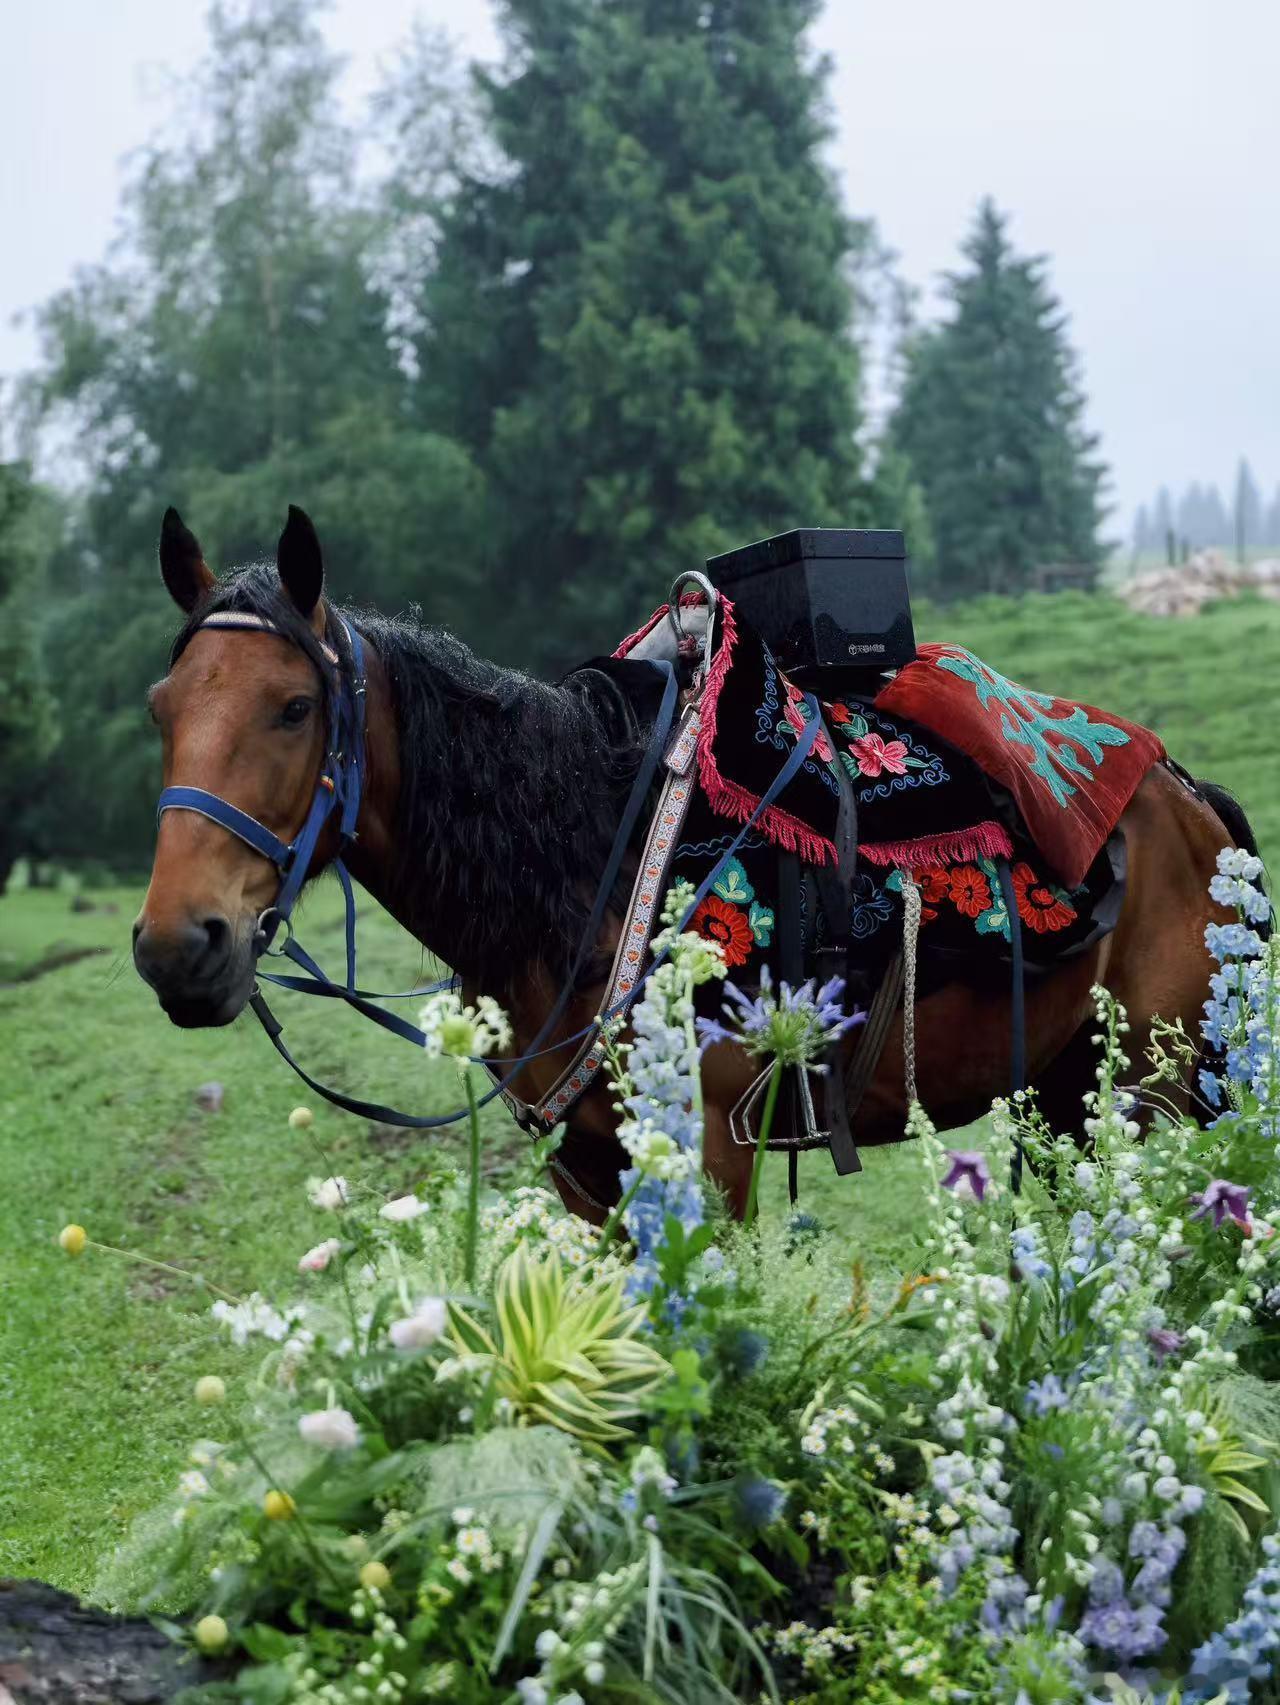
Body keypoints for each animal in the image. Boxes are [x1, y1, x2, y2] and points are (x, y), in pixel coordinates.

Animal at [134, 507, 1252, 1222]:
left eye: (294, 707)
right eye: (161, 706)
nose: (177, 947)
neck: (590, 858)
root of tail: (1189, 799)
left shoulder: (706, 1154)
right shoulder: (586, 1169)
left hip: (1146, 1095)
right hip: (1067, 1098)